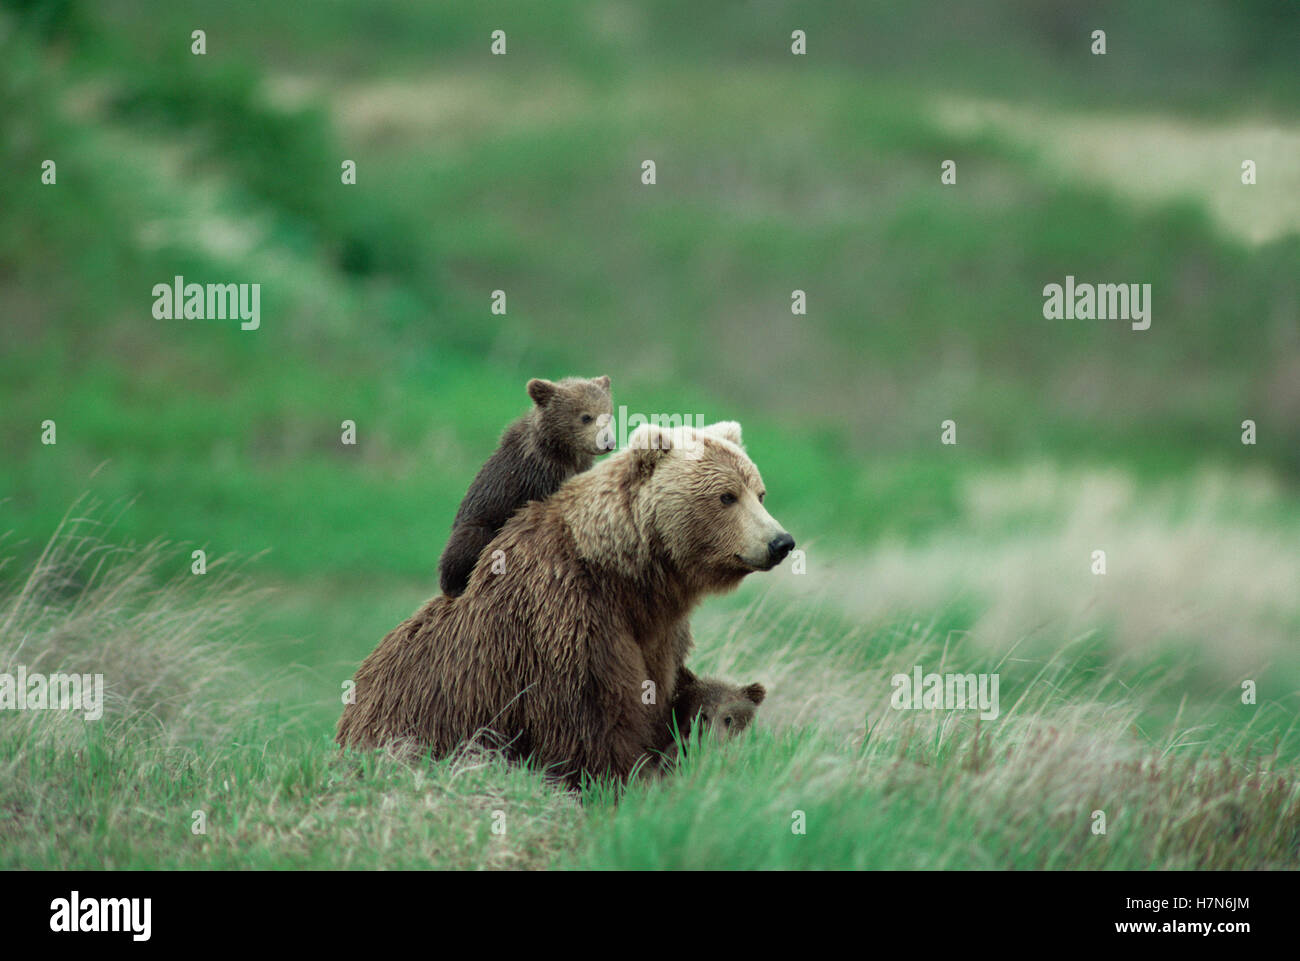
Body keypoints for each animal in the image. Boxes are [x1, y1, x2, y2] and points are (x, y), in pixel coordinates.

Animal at [337, 420, 795, 789]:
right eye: (726, 496)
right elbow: (592, 723)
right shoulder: (568, 621)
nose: (780, 542)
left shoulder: (660, 634)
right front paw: (619, 781)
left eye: (760, 492)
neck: (626, 579)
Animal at [438, 375, 613, 597]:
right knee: (467, 542)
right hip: (478, 523)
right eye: (586, 417)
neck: (565, 451)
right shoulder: (538, 473)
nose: (608, 442)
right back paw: (456, 585)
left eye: (608, 414)